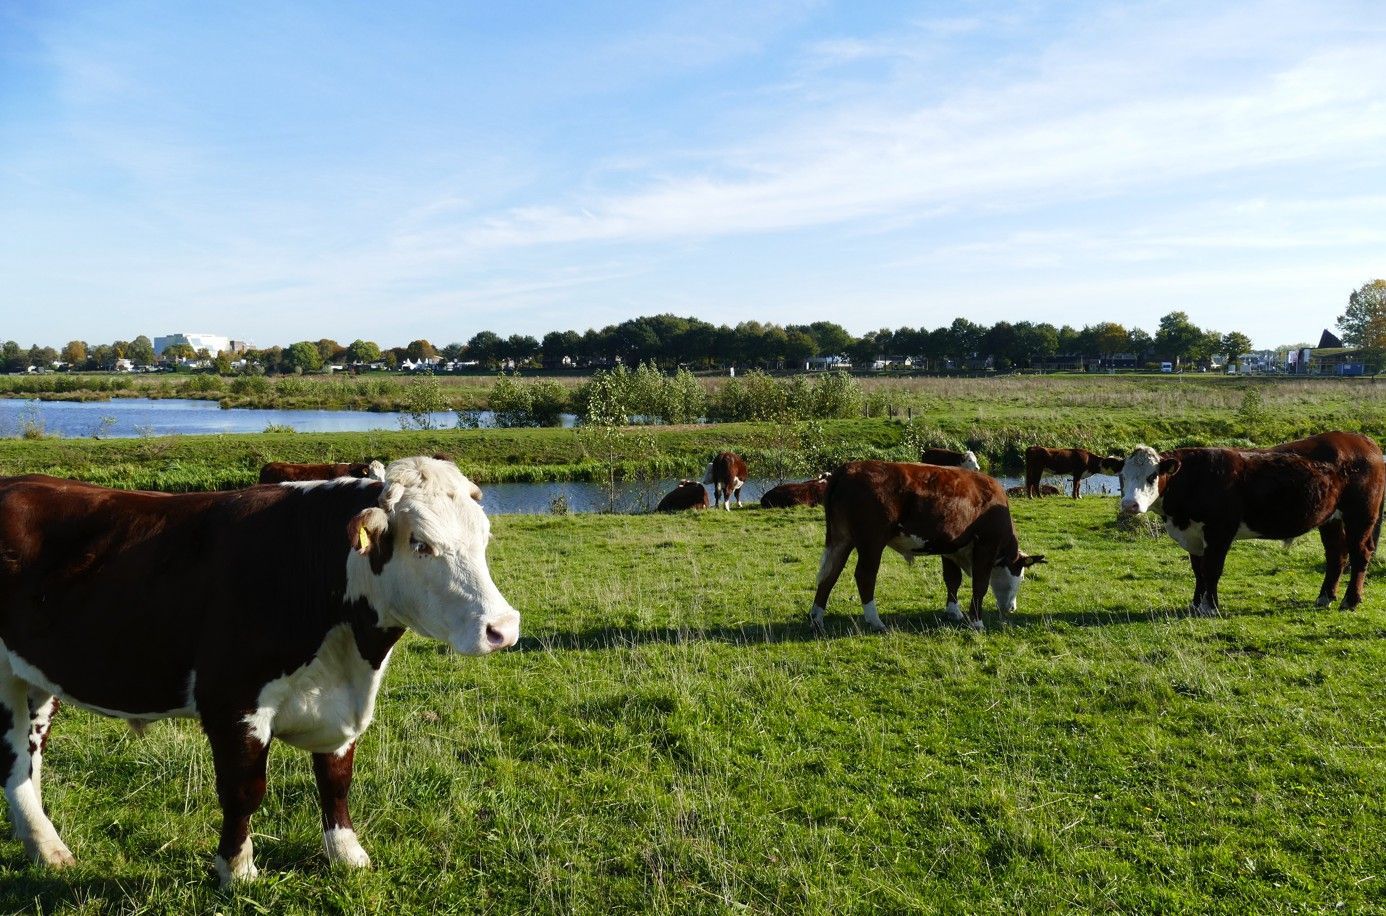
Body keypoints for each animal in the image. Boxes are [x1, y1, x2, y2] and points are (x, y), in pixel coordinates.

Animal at [0, 457, 520, 884]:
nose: (503, 627)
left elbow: (336, 782)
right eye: (421, 544)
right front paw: (237, 869)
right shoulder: (233, 704)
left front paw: (347, 854)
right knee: (13, 758)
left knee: (30, 754)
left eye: (484, 538)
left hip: (36, 679)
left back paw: (42, 844)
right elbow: (244, 791)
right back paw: (47, 846)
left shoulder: (342, 706)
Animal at [810, 461, 1045, 633]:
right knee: (864, 576)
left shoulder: (951, 548)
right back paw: (875, 621)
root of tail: (850, 467)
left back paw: (816, 618)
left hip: (840, 539)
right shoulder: (986, 547)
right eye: (1021, 576)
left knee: (829, 575)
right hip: (871, 542)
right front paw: (976, 621)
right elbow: (980, 585)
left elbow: (953, 580)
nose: (1012, 609)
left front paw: (953, 612)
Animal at [1103, 431, 1385, 615]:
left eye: (1152, 476)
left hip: (1361, 515)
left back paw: (1350, 601)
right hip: (1330, 519)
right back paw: (1325, 597)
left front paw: (1211, 607)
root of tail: (1363, 440)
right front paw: (1195, 604)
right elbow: (1198, 570)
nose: (1130, 505)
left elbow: (1212, 570)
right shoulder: (1194, 536)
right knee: (1337, 555)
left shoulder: (1219, 532)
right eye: (1122, 476)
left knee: (1360, 554)